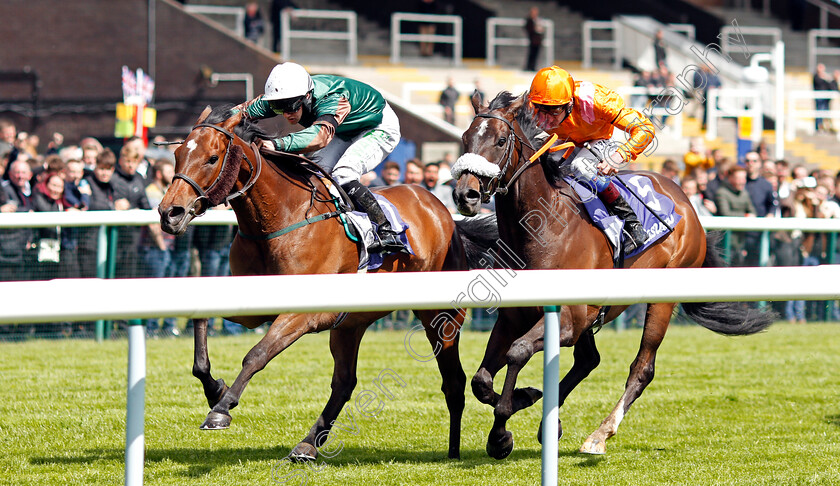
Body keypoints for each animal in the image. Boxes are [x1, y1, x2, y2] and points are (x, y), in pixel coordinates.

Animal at [158, 104, 492, 462]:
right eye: (177, 154)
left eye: (212, 157)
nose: (169, 212)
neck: (280, 218)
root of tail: (441, 210)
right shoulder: (255, 305)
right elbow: (202, 320)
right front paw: (213, 387)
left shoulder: (302, 313)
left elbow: (256, 355)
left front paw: (221, 409)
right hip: (349, 324)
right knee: (344, 382)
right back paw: (307, 444)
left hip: (440, 318)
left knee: (453, 380)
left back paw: (454, 451)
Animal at [452, 90, 776, 456]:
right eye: (465, 137)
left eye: (500, 140)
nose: (465, 194)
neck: (543, 227)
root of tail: (686, 202)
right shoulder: (515, 317)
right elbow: (481, 380)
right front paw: (522, 404)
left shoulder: (569, 319)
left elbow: (518, 352)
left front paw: (505, 426)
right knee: (588, 360)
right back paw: (553, 422)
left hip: (660, 301)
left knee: (642, 368)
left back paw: (600, 434)